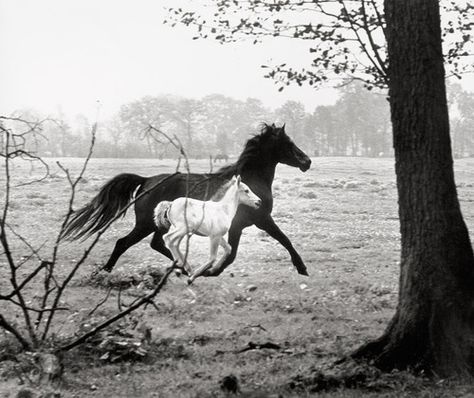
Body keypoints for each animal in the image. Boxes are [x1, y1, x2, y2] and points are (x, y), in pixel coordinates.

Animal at [64, 123, 312, 276]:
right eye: (289, 143)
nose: (307, 161)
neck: (251, 180)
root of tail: (146, 181)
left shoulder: (242, 225)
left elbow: (236, 251)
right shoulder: (261, 220)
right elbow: (282, 240)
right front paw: (302, 268)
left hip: (160, 225)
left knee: (157, 243)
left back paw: (183, 267)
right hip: (145, 224)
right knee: (124, 243)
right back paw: (107, 272)